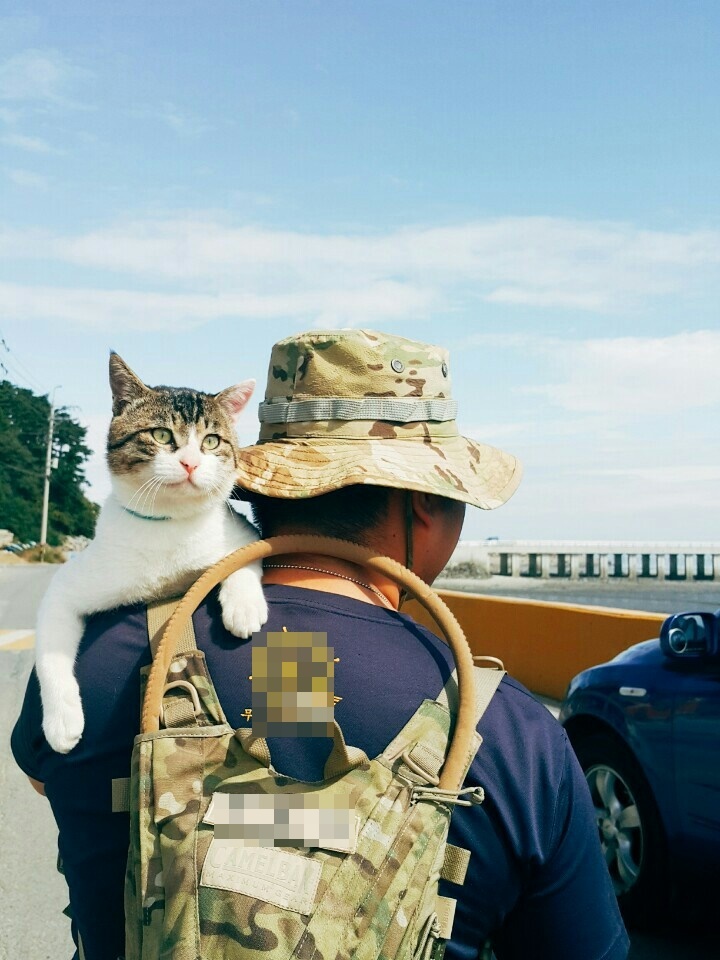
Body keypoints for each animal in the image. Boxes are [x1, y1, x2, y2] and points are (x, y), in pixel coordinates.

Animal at [35, 350, 268, 752]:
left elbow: (241, 558)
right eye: (161, 435)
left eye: (211, 442)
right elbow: (49, 649)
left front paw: (244, 607)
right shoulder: (67, 584)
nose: (190, 462)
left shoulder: (240, 533)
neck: (167, 525)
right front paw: (61, 721)